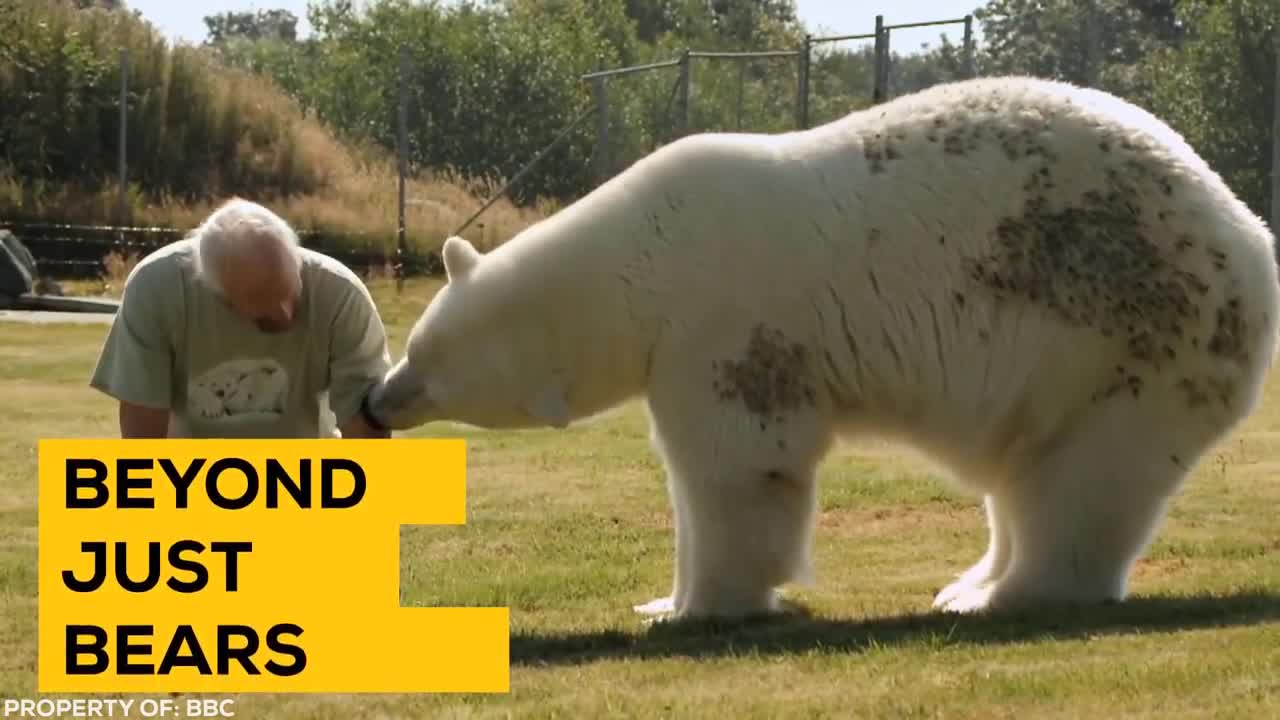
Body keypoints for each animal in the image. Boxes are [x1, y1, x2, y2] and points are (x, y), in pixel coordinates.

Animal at [363, 77, 1280, 617]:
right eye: (418, 341)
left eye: (430, 362)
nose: (379, 398)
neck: (641, 254)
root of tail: (1247, 232)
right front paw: (667, 601)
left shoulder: (721, 324)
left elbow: (739, 466)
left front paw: (695, 608)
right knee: (1022, 476)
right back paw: (967, 582)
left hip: (1133, 340)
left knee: (1082, 482)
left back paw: (1006, 596)